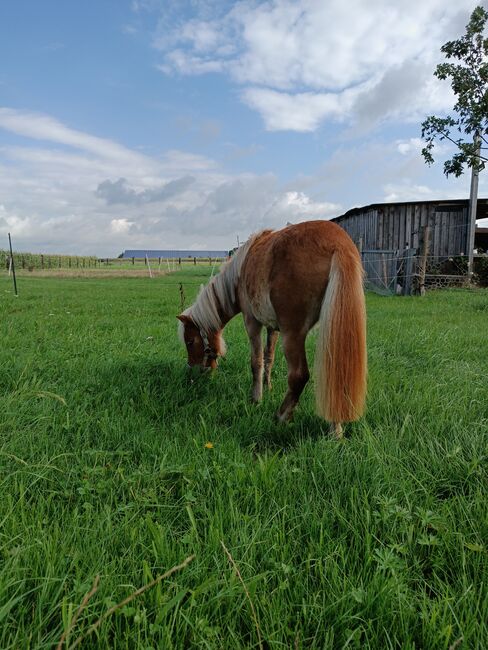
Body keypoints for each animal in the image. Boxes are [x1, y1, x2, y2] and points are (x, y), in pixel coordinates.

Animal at [178, 218, 366, 436]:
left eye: (190, 342)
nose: (195, 371)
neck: (238, 275)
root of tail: (339, 244)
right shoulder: (273, 328)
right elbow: (269, 358)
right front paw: (268, 388)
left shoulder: (252, 322)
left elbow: (256, 361)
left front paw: (256, 398)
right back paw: (336, 430)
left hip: (293, 334)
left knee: (298, 376)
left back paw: (281, 417)